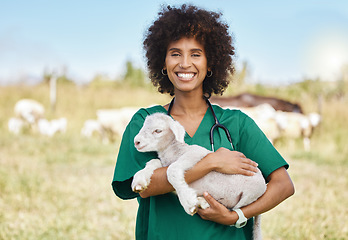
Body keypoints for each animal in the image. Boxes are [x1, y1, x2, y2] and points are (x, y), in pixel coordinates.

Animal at [130, 113, 266, 240]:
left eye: (158, 131)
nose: (136, 142)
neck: (173, 152)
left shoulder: (196, 153)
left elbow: (172, 170)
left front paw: (188, 202)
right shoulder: (163, 163)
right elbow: (153, 162)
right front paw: (139, 181)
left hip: (251, 193)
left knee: (234, 211)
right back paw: (203, 202)